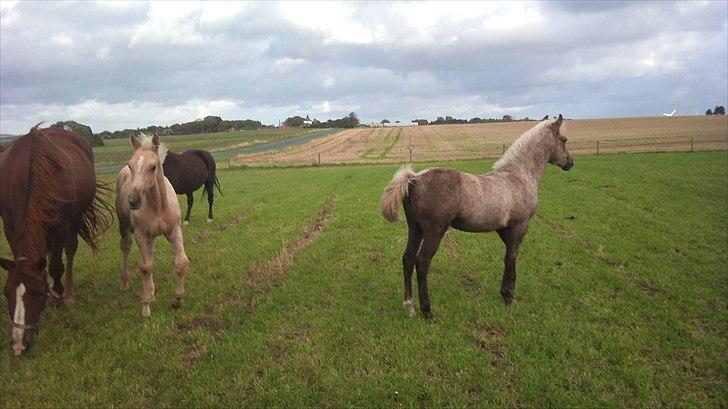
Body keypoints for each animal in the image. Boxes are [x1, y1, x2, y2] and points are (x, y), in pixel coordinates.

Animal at [0, 125, 111, 354]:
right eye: (6, 293)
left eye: (37, 293)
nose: (18, 346)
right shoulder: (10, 225)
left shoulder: (60, 224)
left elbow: (57, 265)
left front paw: (59, 293)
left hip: (73, 220)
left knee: (69, 251)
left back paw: (67, 292)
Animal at [382, 114, 576, 318]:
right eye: (564, 140)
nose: (570, 162)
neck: (518, 176)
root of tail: (414, 178)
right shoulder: (520, 226)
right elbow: (511, 257)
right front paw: (509, 297)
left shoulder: (503, 228)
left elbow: (509, 256)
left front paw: (506, 292)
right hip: (434, 231)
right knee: (422, 263)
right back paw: (427, 311)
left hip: (415, 229)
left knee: (408, 259)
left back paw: (409, 305)